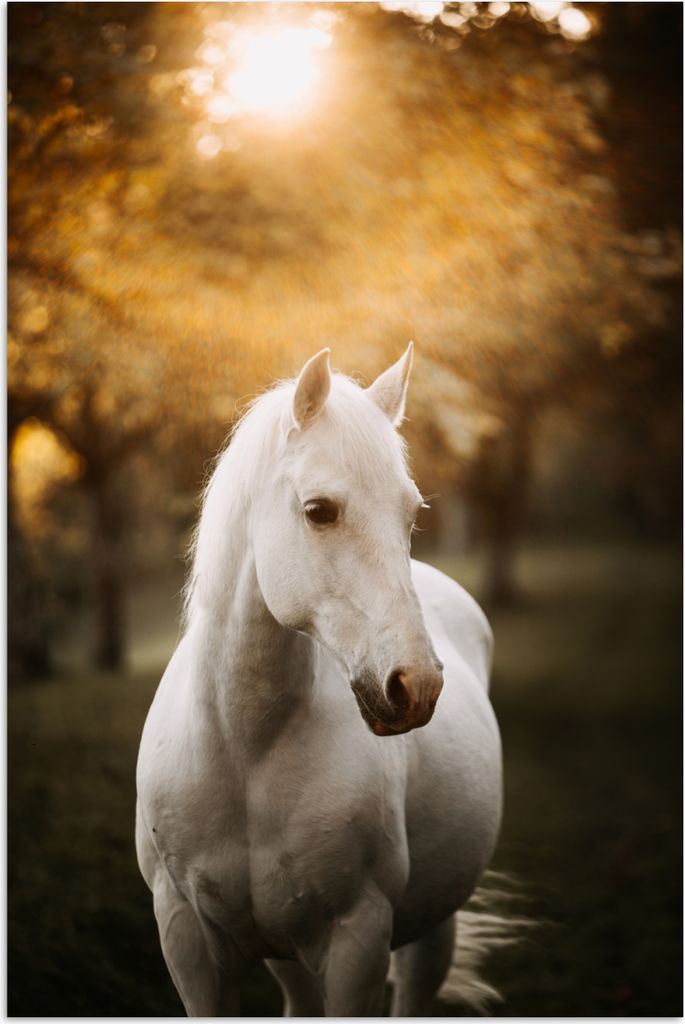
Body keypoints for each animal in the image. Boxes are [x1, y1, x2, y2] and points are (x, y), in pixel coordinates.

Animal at [135, 344, 503, 1016]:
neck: (244, 750)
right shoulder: (185, 938)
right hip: (288, 955)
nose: (416, 685)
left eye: (411, 513)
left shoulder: (357, 941)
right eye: (319, 512)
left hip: (431, 930)